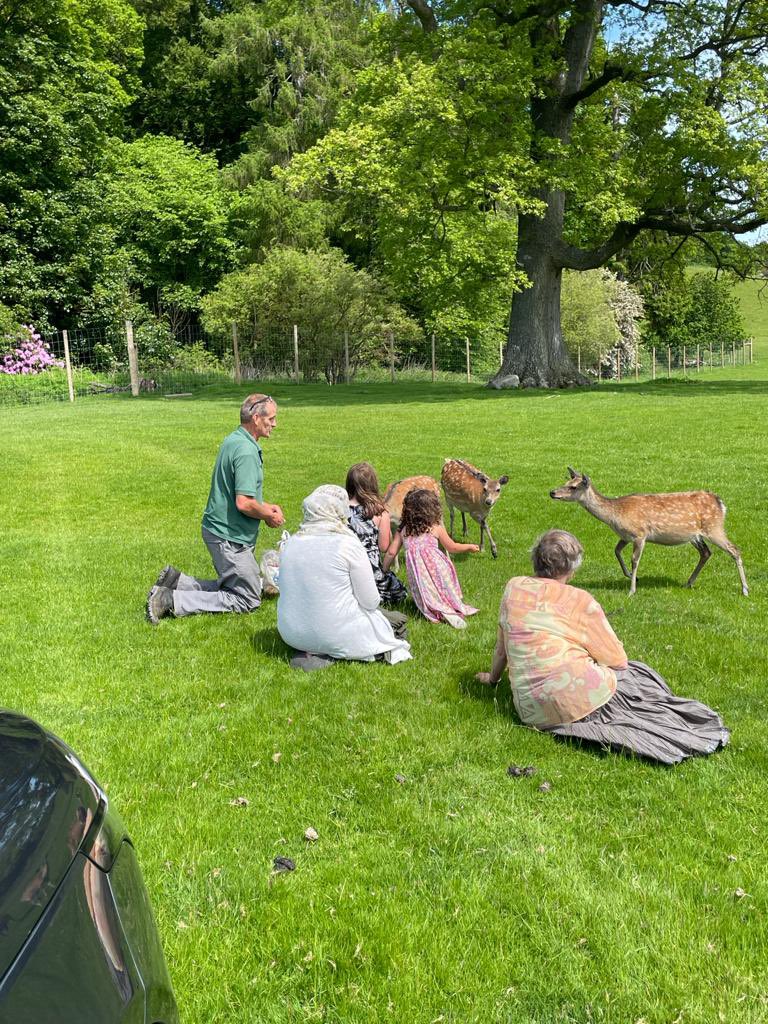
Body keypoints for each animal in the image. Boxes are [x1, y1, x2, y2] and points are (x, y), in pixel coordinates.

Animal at [548, 466, 749, 598]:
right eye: (566, 481)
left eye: (573, 487)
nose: (552, 492)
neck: (615, 515)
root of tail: (720, 503)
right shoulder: (625, 536)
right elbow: (616, 551)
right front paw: (630, 576)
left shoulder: (639, 534)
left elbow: (634, 560)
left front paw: (631, 590)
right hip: (696, 535)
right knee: (706, 552)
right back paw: (688, 582)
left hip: (714, 528)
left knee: (735, 550)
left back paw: (745, 589)